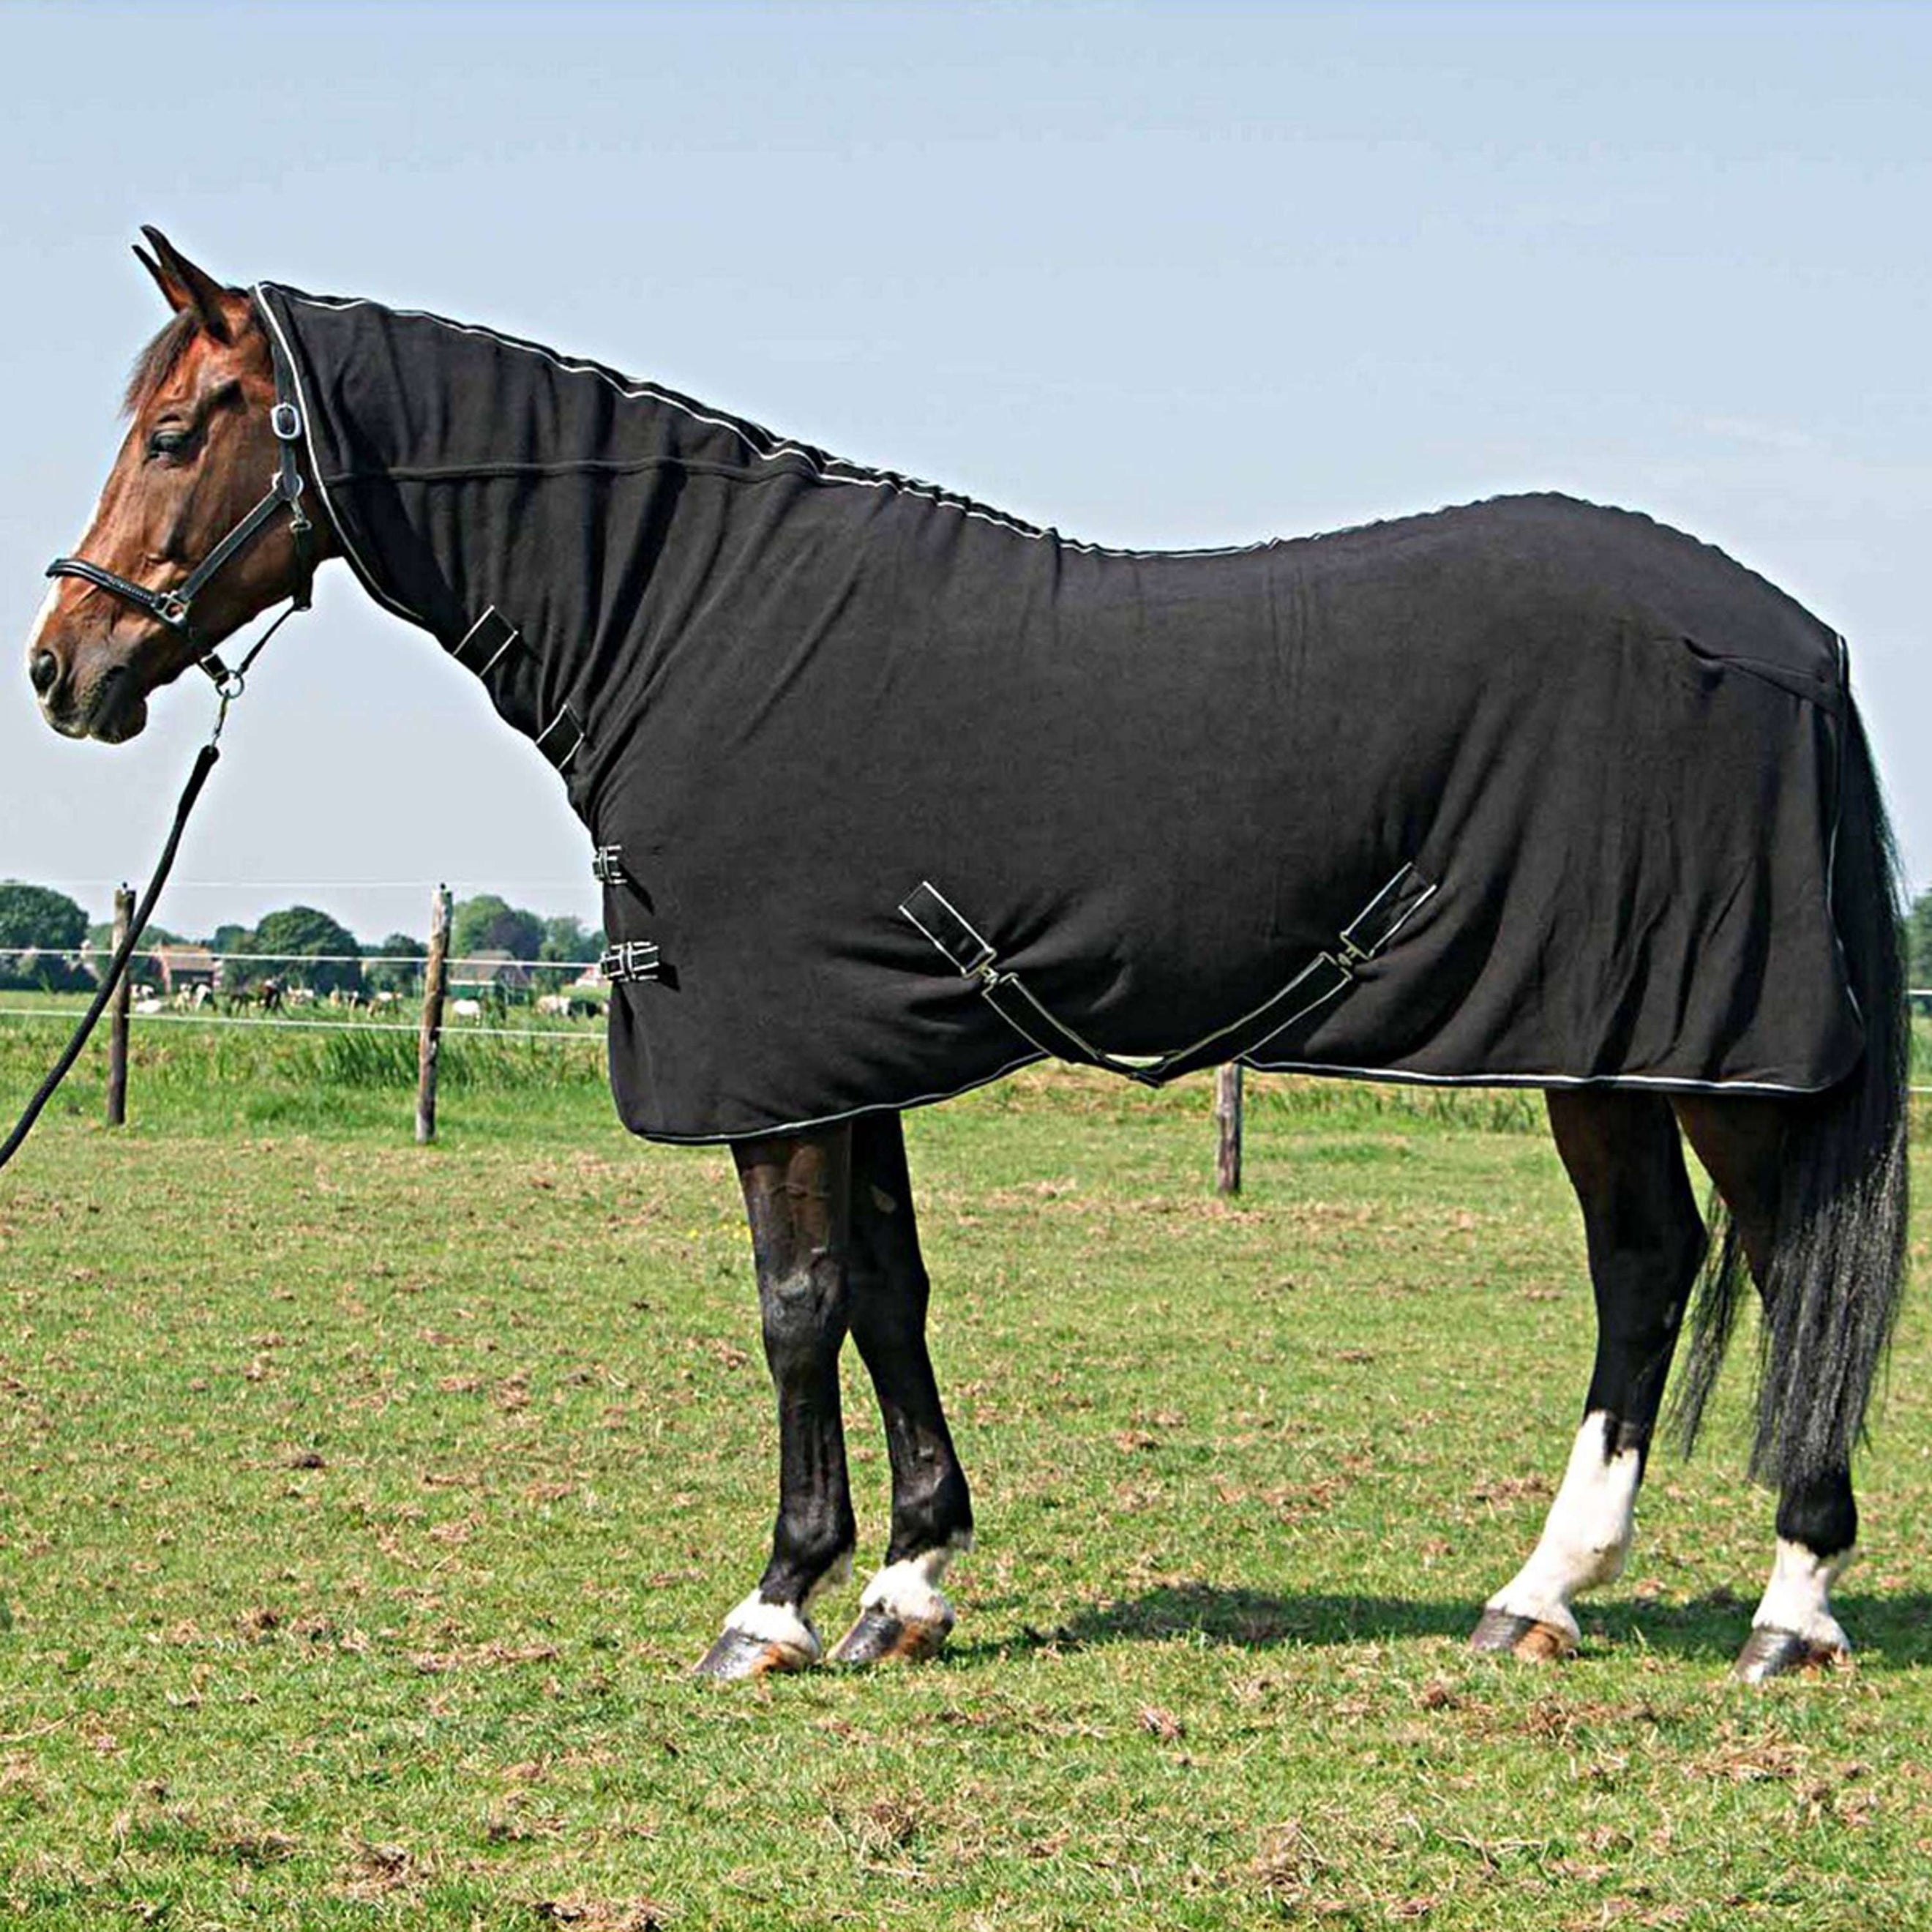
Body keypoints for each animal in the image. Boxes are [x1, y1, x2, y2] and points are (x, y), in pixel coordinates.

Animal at [23, 230, 1907, 1683]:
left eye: (179, 427)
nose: (63, 664)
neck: (698, 628)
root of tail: (1794, 637)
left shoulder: (778, 1064)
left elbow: (796, 1309)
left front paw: (776, 1604)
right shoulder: (849, 1046)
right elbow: (888, 1293)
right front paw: (908, 1584)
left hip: (1697, 1047)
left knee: (1770, 1263)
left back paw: (1790, 1612)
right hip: (1610, 1051)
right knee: (1650, 1267)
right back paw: (1539, 1599)